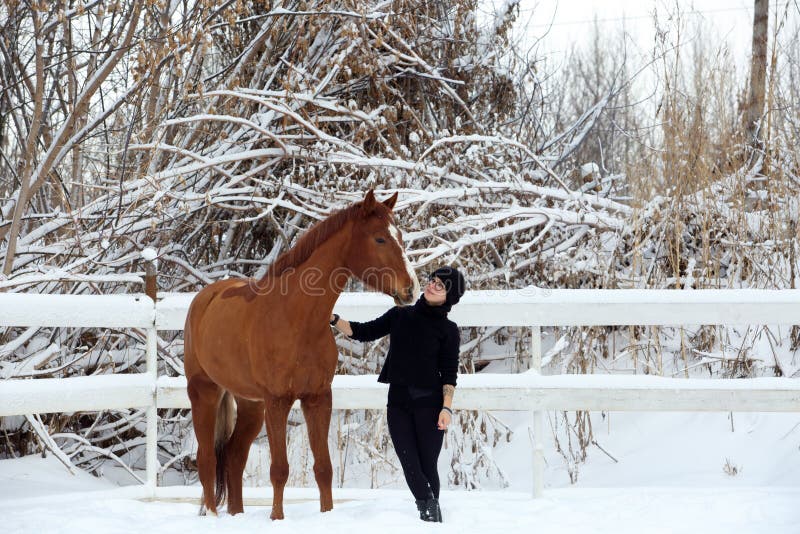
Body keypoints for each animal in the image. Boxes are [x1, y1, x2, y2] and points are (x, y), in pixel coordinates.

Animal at [182, 192, 418, 520]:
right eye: (380, 238)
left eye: (401, 237)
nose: (411, 290)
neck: (297, 318)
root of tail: (204, 298)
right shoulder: (278, 401)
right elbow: (279, 470)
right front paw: (276, 519)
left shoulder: (318, 398)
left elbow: (324, 469)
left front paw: (327, 514)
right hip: (204, 392)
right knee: (207, 460)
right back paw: (217, 518)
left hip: (251, 405)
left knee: (233, 457)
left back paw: (237, 515)